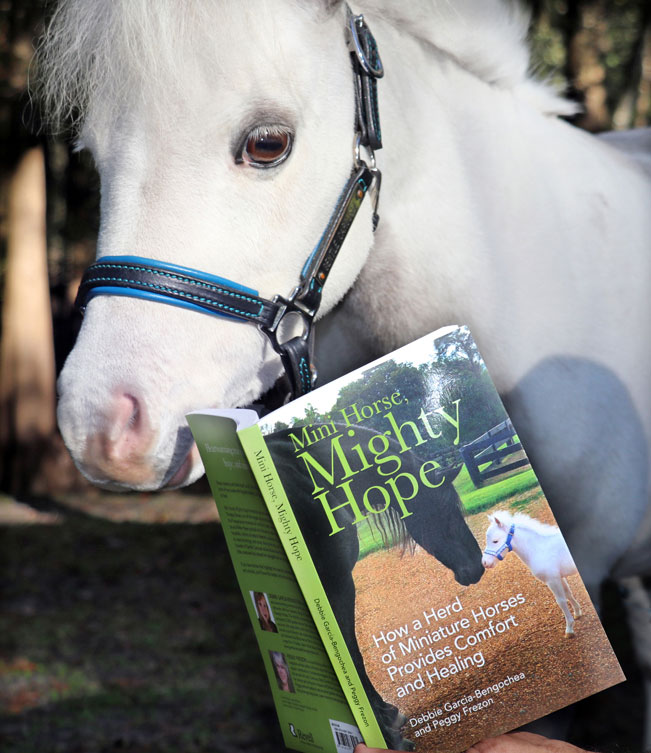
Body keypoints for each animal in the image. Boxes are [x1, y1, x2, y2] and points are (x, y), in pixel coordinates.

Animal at [264, 426, 484, 748]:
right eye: (446, 509)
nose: (477, 566)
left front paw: (385, 713)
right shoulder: (338, 587)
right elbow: (351, 655)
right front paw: (387, 734)